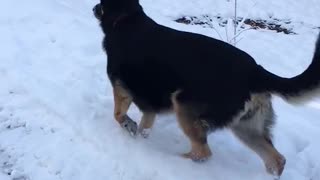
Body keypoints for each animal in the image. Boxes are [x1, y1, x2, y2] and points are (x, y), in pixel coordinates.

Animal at [92, 0, 320, 177]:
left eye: (101, 3)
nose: (93, 7)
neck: (126, 18)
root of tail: (255, 71)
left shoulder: (122, 89)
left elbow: (118, 115)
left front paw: (128, 126)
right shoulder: (150, 103)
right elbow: (144, 126)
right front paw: (139, 137)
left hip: (183, 105)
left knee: (203, 152)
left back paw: (175, 161)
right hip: (246, 127)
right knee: (277, 159)